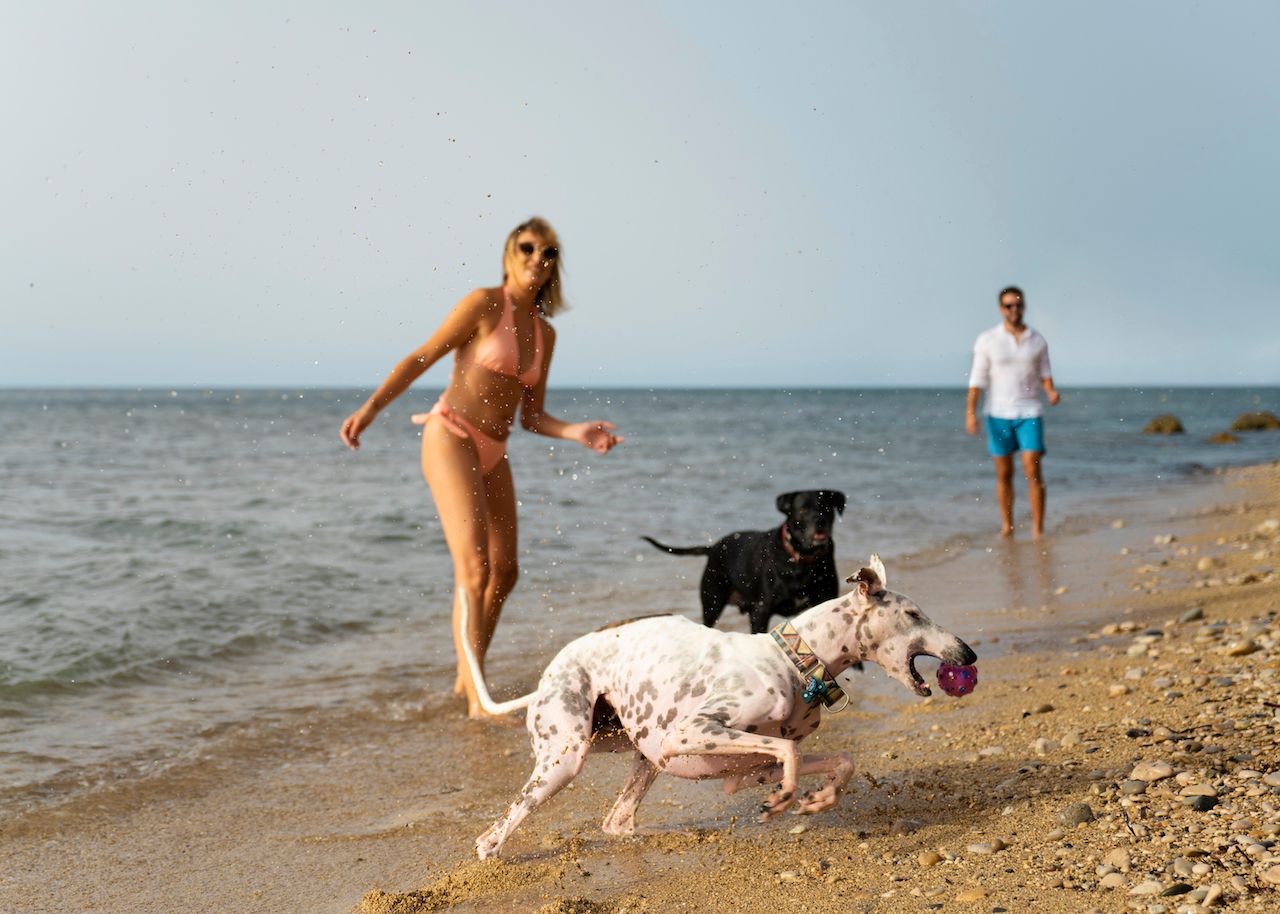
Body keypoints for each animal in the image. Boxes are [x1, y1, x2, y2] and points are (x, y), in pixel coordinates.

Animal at [465, 553, 972, 860]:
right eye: (913, 614)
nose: (968, 653)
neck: (794, 661)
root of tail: (542, 682)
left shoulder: (745, 770)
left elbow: (838, 758)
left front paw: (818, 798)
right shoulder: (690, 732)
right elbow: (789, 752)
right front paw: (786, 799)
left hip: (644, 757)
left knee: (618, 821)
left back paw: (675, 834)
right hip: (568, 758)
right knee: (491, 838)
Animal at [645, 489, 844, 629]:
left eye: (827, 508)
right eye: (803, 509)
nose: (820, 521)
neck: (801, 558)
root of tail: (714, 548)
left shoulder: (826, 600)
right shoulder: (761, 610)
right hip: (712, 602)